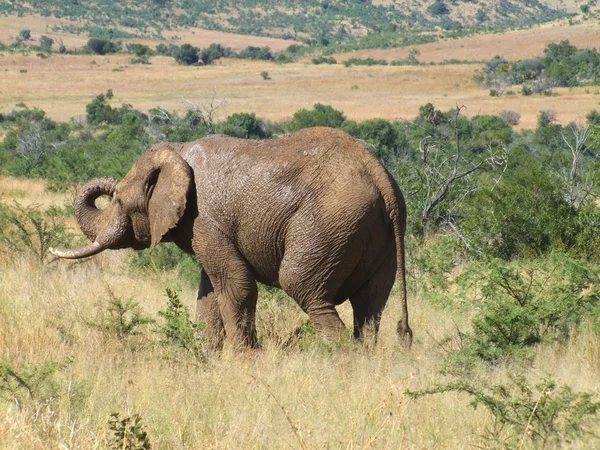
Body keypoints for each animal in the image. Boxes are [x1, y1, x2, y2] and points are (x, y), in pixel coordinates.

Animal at [50, 126, 412, 348]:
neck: (178, 152)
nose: (107, 188)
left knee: (304, 288)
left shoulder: (205, 217)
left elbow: (235, 283)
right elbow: (209, 290)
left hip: (328, 225)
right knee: (370, 306)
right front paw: (208, 356)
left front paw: (246, 359)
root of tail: (379, 175)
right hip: (378, 234)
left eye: (119, 201)